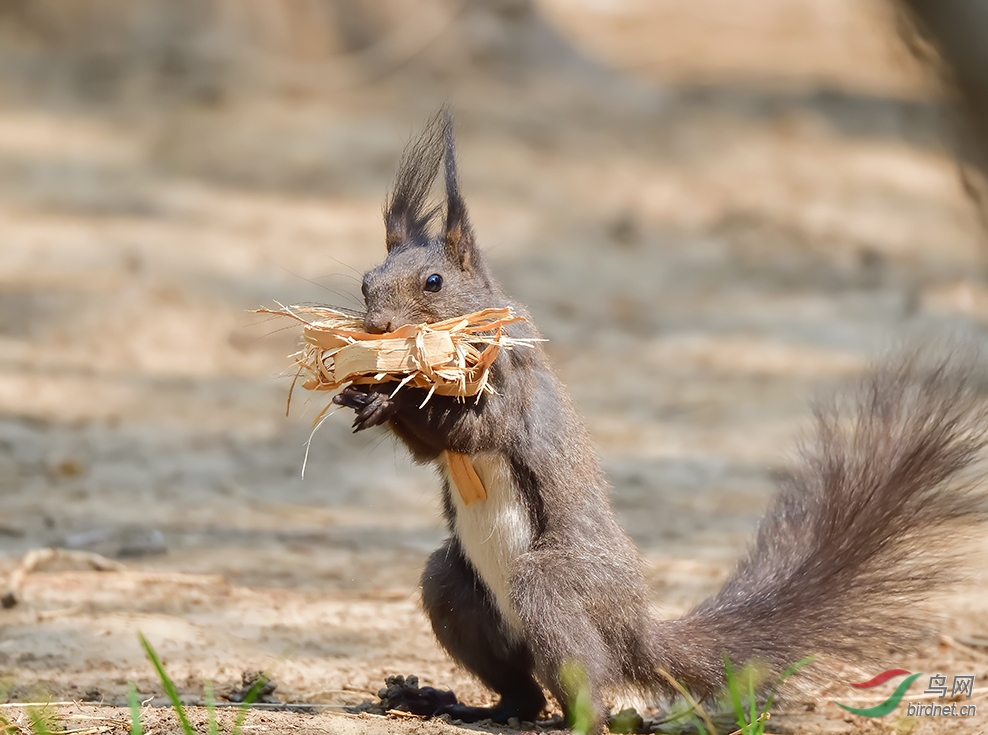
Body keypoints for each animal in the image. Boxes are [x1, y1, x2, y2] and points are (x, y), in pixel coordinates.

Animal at [332, 112, 988, 732]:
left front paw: (392, 393)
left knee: (582, 687)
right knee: (521, 692)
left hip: (551, 585)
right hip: (454, 589)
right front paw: (366, 390)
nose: (377, 327)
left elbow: (476, 430)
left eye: (434, 282)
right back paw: (456, 704)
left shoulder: (513, 384)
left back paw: (577, 720)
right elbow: (430, 449)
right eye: (365, 282)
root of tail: (633, 629)